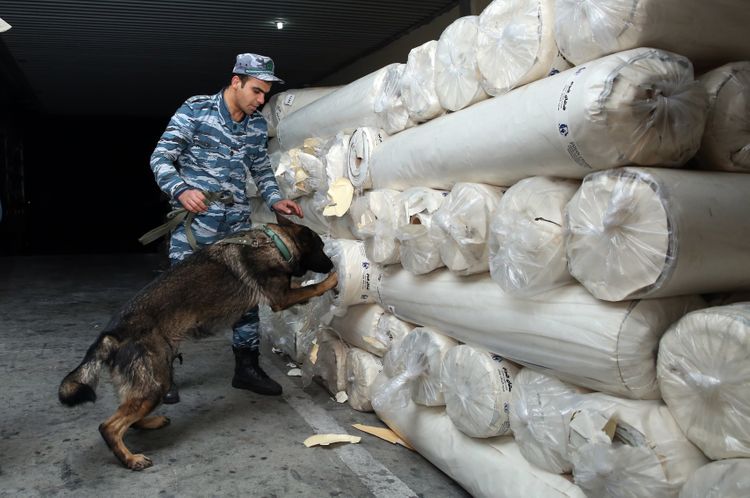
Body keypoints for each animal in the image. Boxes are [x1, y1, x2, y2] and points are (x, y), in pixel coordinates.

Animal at [58, 218, 338, 470]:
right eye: (322, 247)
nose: (332, 263)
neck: (275, 243)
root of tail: (112, 334)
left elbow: (306, 288)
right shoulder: (282, 298)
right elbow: (313, 287)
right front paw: (333, 280)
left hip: (148, 383)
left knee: (128, 415)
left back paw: (150, 423)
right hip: (155, 384)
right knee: (109, 426)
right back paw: (130, 459)